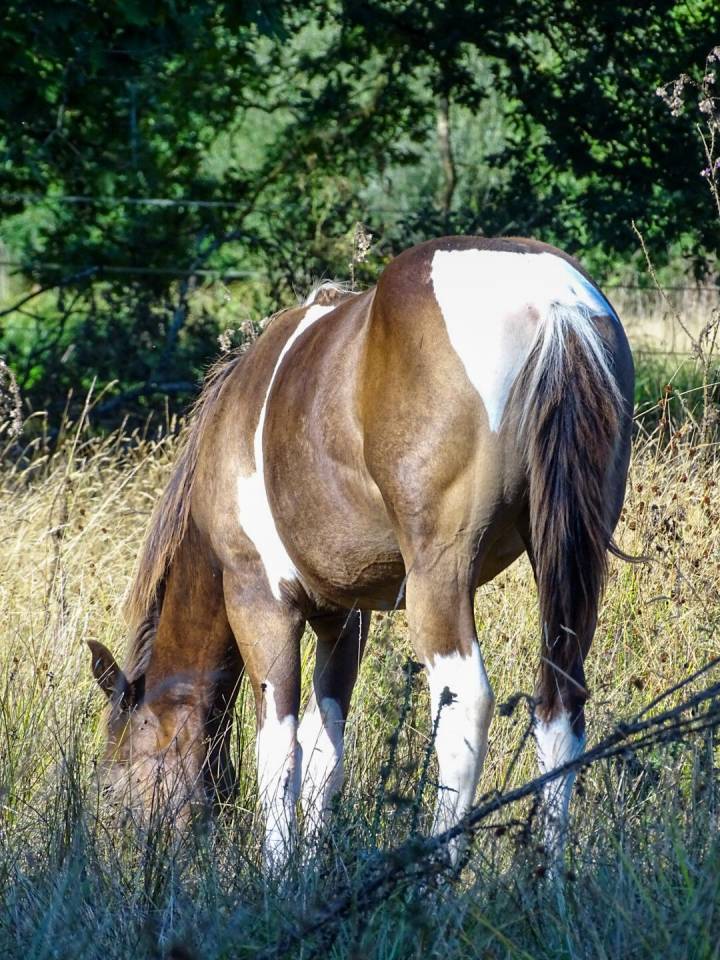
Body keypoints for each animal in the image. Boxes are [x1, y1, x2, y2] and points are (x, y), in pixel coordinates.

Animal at [88, 235, 634, 868]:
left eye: (116, 778)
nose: (127, 858)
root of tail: (552, 303)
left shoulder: (260, 602)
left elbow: (280, 753)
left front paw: (277, 875)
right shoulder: (343, 618)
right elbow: (326, 754)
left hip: (440, 576)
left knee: (466, 706)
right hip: (565, 567)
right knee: (561, 707)